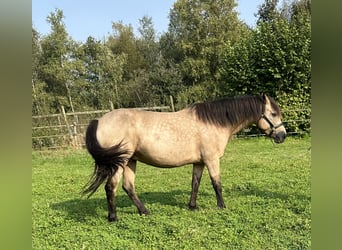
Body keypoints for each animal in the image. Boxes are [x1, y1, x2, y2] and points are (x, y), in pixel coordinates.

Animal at [82, 94, 286, 221]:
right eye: (273, 113)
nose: (282, 136)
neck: (214, 122)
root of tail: (98, 120)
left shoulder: (199, 162)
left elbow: (195, 183)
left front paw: (192, 206)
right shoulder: (212, 160)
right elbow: (216, 183)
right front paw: (221, 206)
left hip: (131, 161)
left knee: (128, 186)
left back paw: (144, 211)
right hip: (119, 163)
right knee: (111, 187)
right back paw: (113, 217)